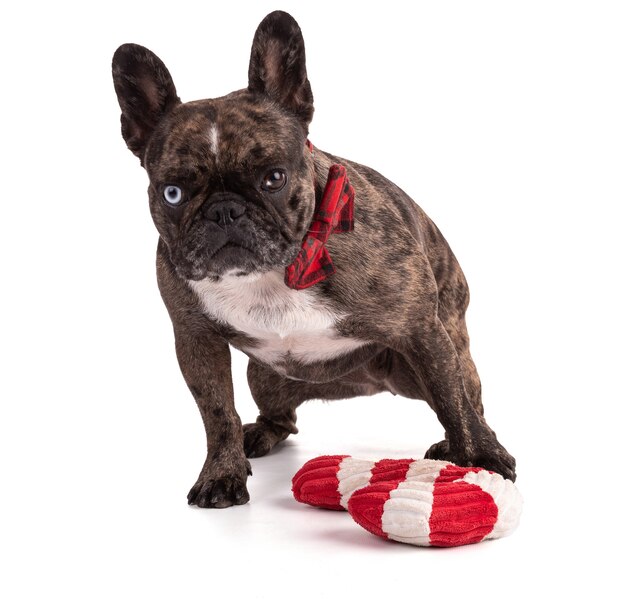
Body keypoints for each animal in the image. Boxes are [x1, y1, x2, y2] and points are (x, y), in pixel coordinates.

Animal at [111, 10, 512, 506]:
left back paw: (470, 441)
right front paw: (221, 474)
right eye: (172, 193)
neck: (272, 271)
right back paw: (257, 434)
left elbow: (453, 402)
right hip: (263, 377)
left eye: (274, 178)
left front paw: (482, 457)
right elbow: (217, 413)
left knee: (466, 395)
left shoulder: (420, 331)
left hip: (444, 347)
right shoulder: (196, 340)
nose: (224, 210)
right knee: (282, 418)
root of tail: (365, 383)